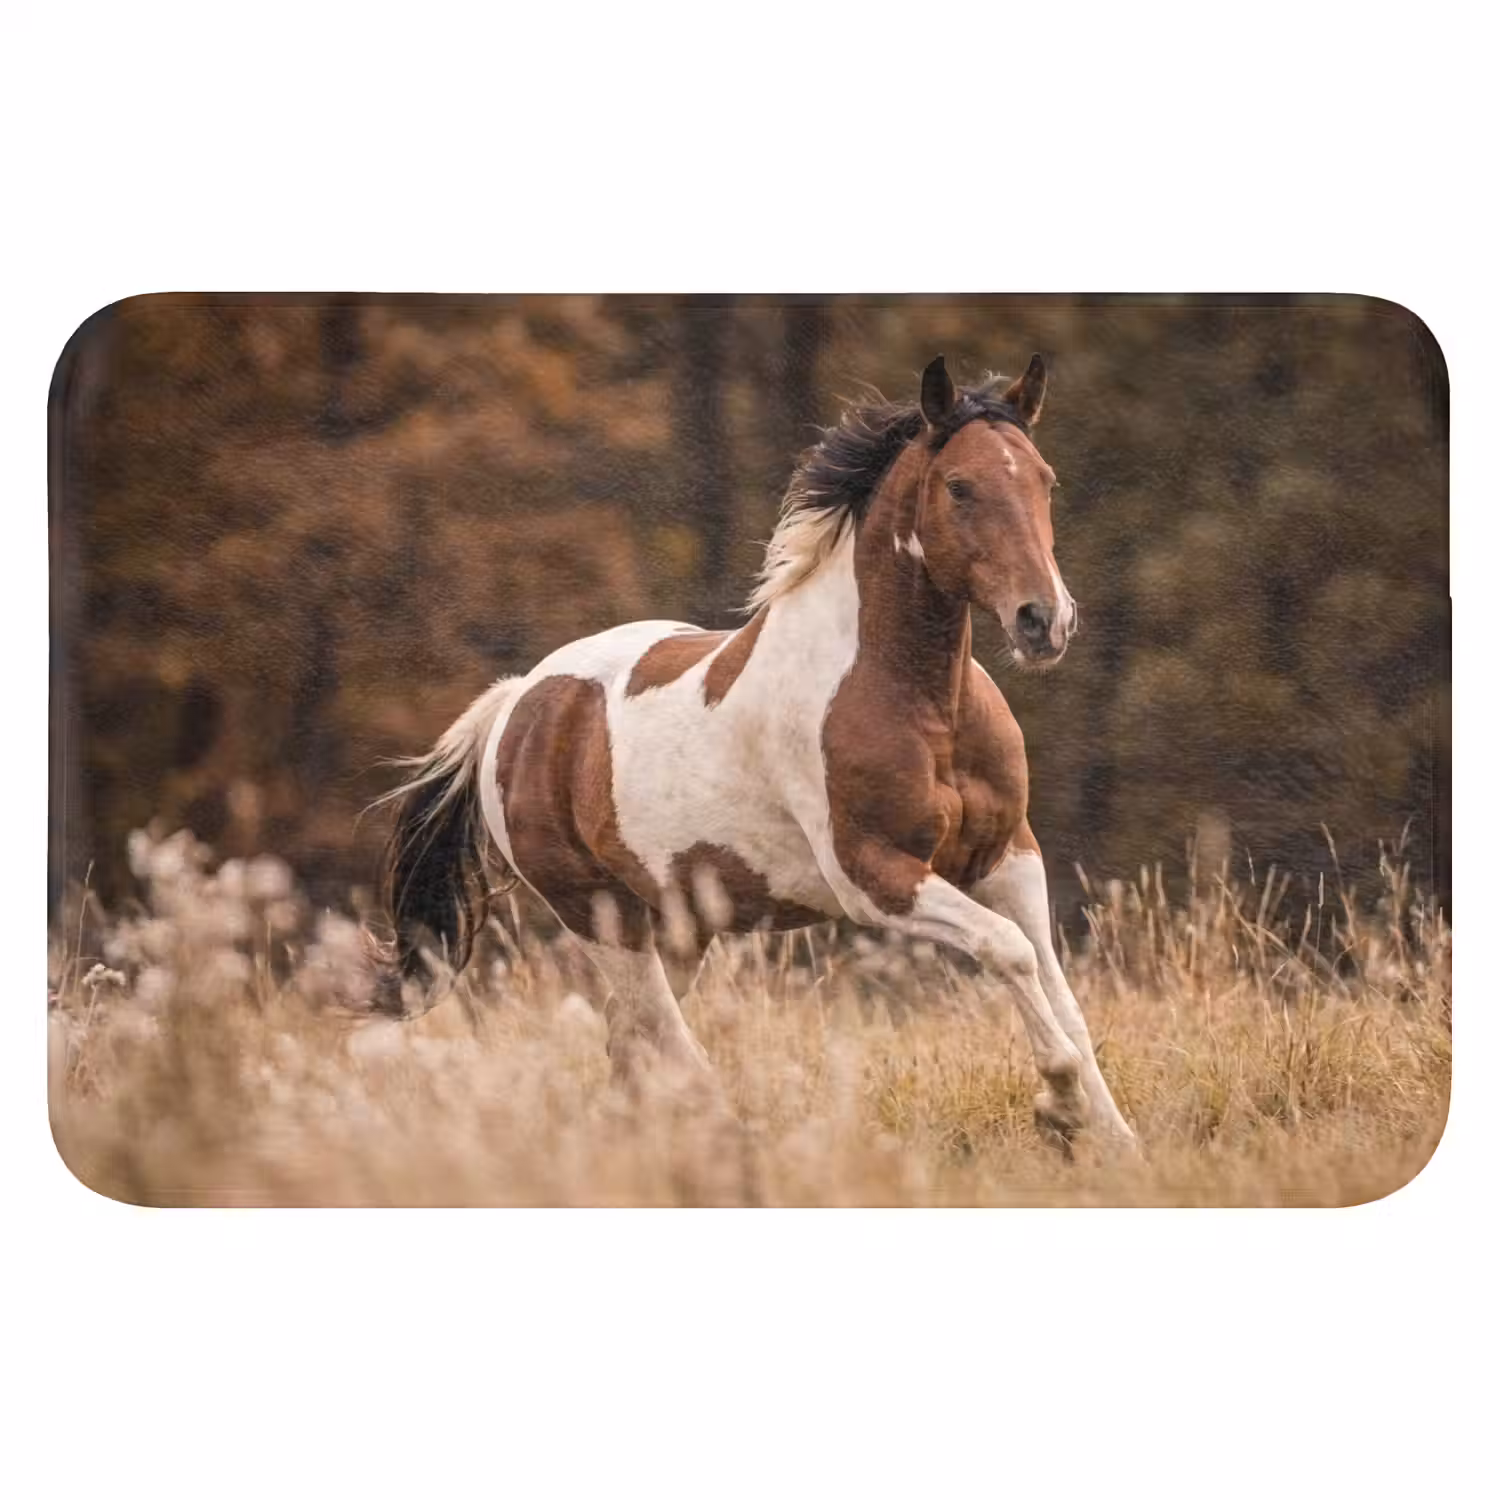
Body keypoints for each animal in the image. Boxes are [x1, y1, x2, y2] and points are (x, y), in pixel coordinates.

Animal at [375, 354, 1136, 1149]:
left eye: (1045, 480)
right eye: (960, 486)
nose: (1044, 621)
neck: (925, 706)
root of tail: (516, 702)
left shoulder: (1008, 858)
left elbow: (1060, 993)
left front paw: (1116, 1142)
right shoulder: (875, 877)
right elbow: (1007, 951)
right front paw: (1059, 1105)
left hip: (678, 927)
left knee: (630, 1047)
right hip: (600, 916)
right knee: (666, 1046)